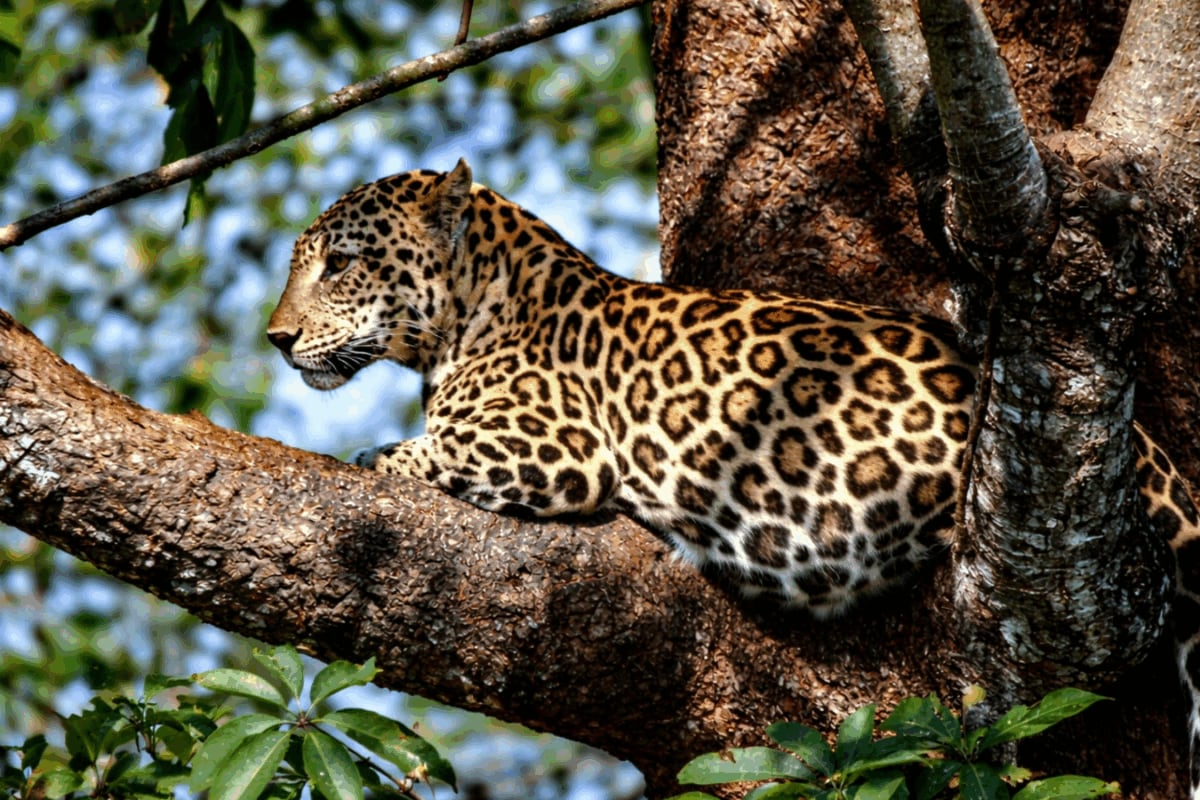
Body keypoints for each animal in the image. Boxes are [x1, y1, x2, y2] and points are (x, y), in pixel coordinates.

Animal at [267, 160, 1200, 792]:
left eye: (339, 263)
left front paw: (381, 454)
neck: (476, 307)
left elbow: (426, 446)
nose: (276, 340)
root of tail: (1155, 463)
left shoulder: (554, 443)